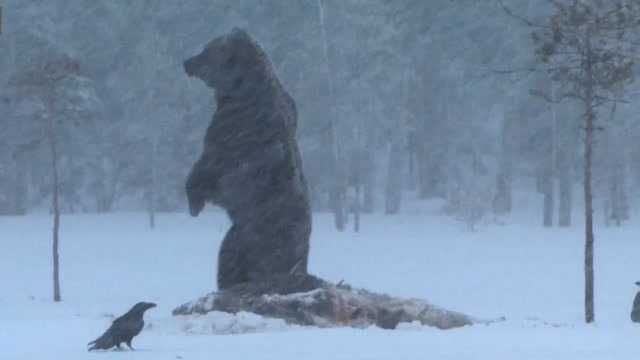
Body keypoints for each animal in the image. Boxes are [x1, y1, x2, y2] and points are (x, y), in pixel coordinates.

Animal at [184, 28, 318, 292]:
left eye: (207, 50)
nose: (187, 62)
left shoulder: (228, 135)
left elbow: (207, 167)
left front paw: (194, 200)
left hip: (251, 237)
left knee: (229, 256)